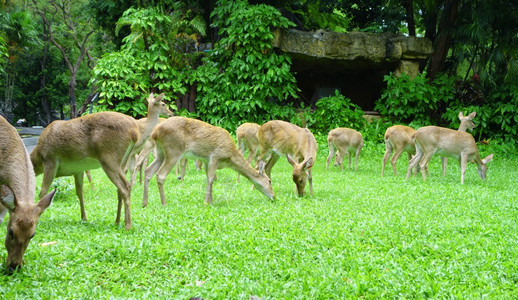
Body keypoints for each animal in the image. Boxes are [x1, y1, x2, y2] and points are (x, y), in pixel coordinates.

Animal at [140, 116, 274, 206]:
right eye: (269, 181)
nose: (274, 196)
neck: (229, 157)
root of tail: (155, 131)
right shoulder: (215, 156)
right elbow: (210, 179)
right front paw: (206, 203)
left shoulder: (205, 160)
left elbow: (209, 178)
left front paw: (210, 201)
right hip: (173, 150)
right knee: (160, 174)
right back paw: (164, 203)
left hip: (160, 151)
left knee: (148, 171)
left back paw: (145, 203)